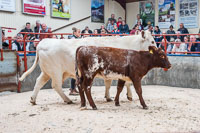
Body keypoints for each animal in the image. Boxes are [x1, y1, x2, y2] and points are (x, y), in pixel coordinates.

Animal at [19, 30, 156, 105]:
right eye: (153, 41)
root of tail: (43, 43)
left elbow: (108, 84)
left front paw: (108, 97)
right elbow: (126, 83)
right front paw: (129, 96)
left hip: (48, 72)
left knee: (38, 82)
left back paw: (33, 100)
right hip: (56, 72)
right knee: (56, 86)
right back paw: (68, 100)